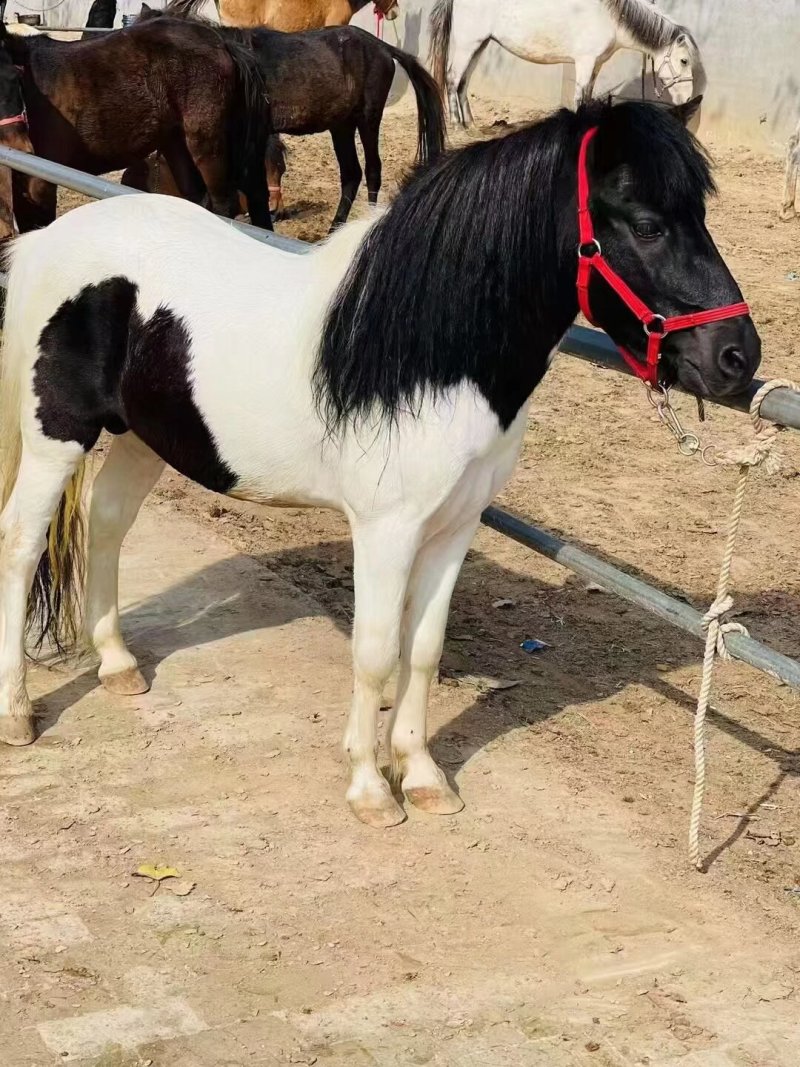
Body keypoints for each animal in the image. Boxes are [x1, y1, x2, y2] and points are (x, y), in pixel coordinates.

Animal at [0, 16, 273, 231]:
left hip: (208, 146)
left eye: (16, 77)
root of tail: (221, 43)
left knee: (223, 205)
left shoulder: (39, 184)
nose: (21, 147)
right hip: (178, 145)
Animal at [0, 98, 760, 826]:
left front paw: (422, 777)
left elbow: (422, 648)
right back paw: (18, 713)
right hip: (55, 437)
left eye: (699, 215)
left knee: (105, 521)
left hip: (141, 437)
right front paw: (369, 788)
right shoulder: (385, 528)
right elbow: (374, 653)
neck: (426, 352)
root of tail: (42, 243)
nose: (738, 356)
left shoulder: (455, 525)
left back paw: (117, 664)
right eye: (647, 223)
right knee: (21, 544)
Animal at [429, 0, 706, 127]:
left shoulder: (595, 65)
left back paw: (471, 124)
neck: (612, 18)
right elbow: (580, 98)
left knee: (463, 82)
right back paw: (456, 124)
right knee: (453, 79)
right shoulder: (585, 62)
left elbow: (589, 96)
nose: (687, 98)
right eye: (683, 60)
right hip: (468, 44)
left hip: (480, 45)